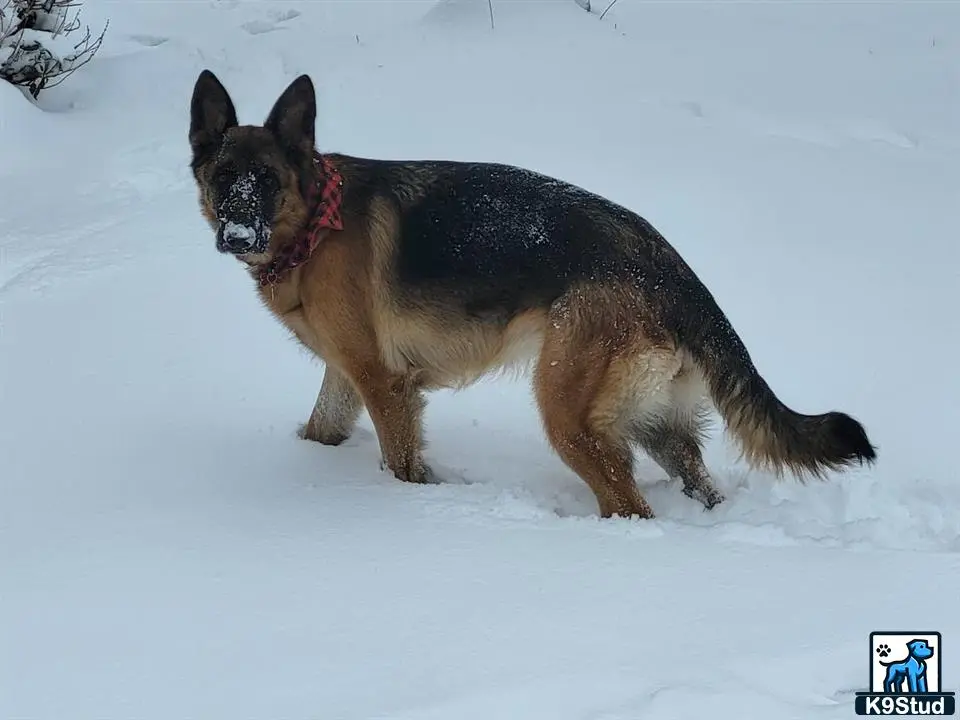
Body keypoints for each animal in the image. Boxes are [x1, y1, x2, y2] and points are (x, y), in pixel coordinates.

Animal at [189, 70, 876, 516]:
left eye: (267, 180)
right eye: (225, 178)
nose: (237, 233)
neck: (314, 224)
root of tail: (670, 266)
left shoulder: (384, 385)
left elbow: (404, 464)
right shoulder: (348, 374)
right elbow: (321, 429)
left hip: (569, 415)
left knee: (628, 504)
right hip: (654, 423)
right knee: (698, 486)